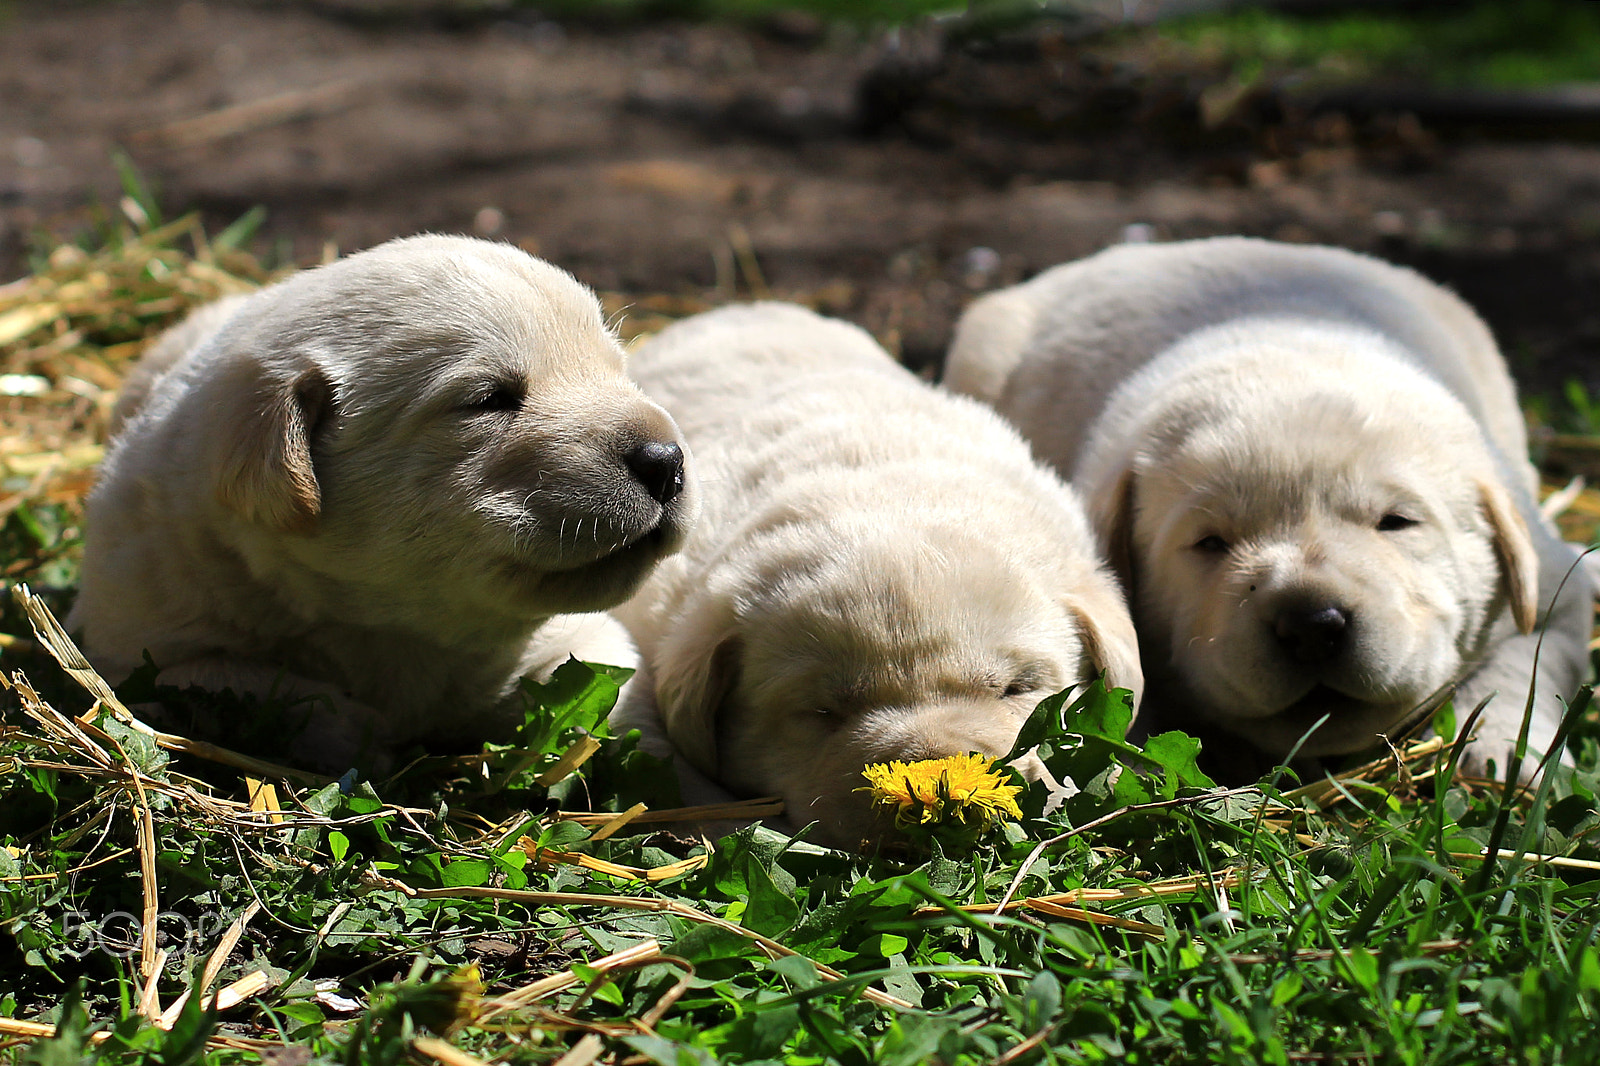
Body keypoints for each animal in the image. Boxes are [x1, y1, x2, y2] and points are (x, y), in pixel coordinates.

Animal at [70, 232, 694, 765]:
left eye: (619, 371)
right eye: (487, 400)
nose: (666, 461)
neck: (396, 631)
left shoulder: (581, 643)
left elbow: (618, 702)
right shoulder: (130, 646)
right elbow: (228, 675)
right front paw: (354, 731)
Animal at [940, 236, 1593, 777]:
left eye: (1397, 523)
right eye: (1210, 543)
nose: (1311, 624)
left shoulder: (1556, 580)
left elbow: (1530, 658)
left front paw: (1504, 750)